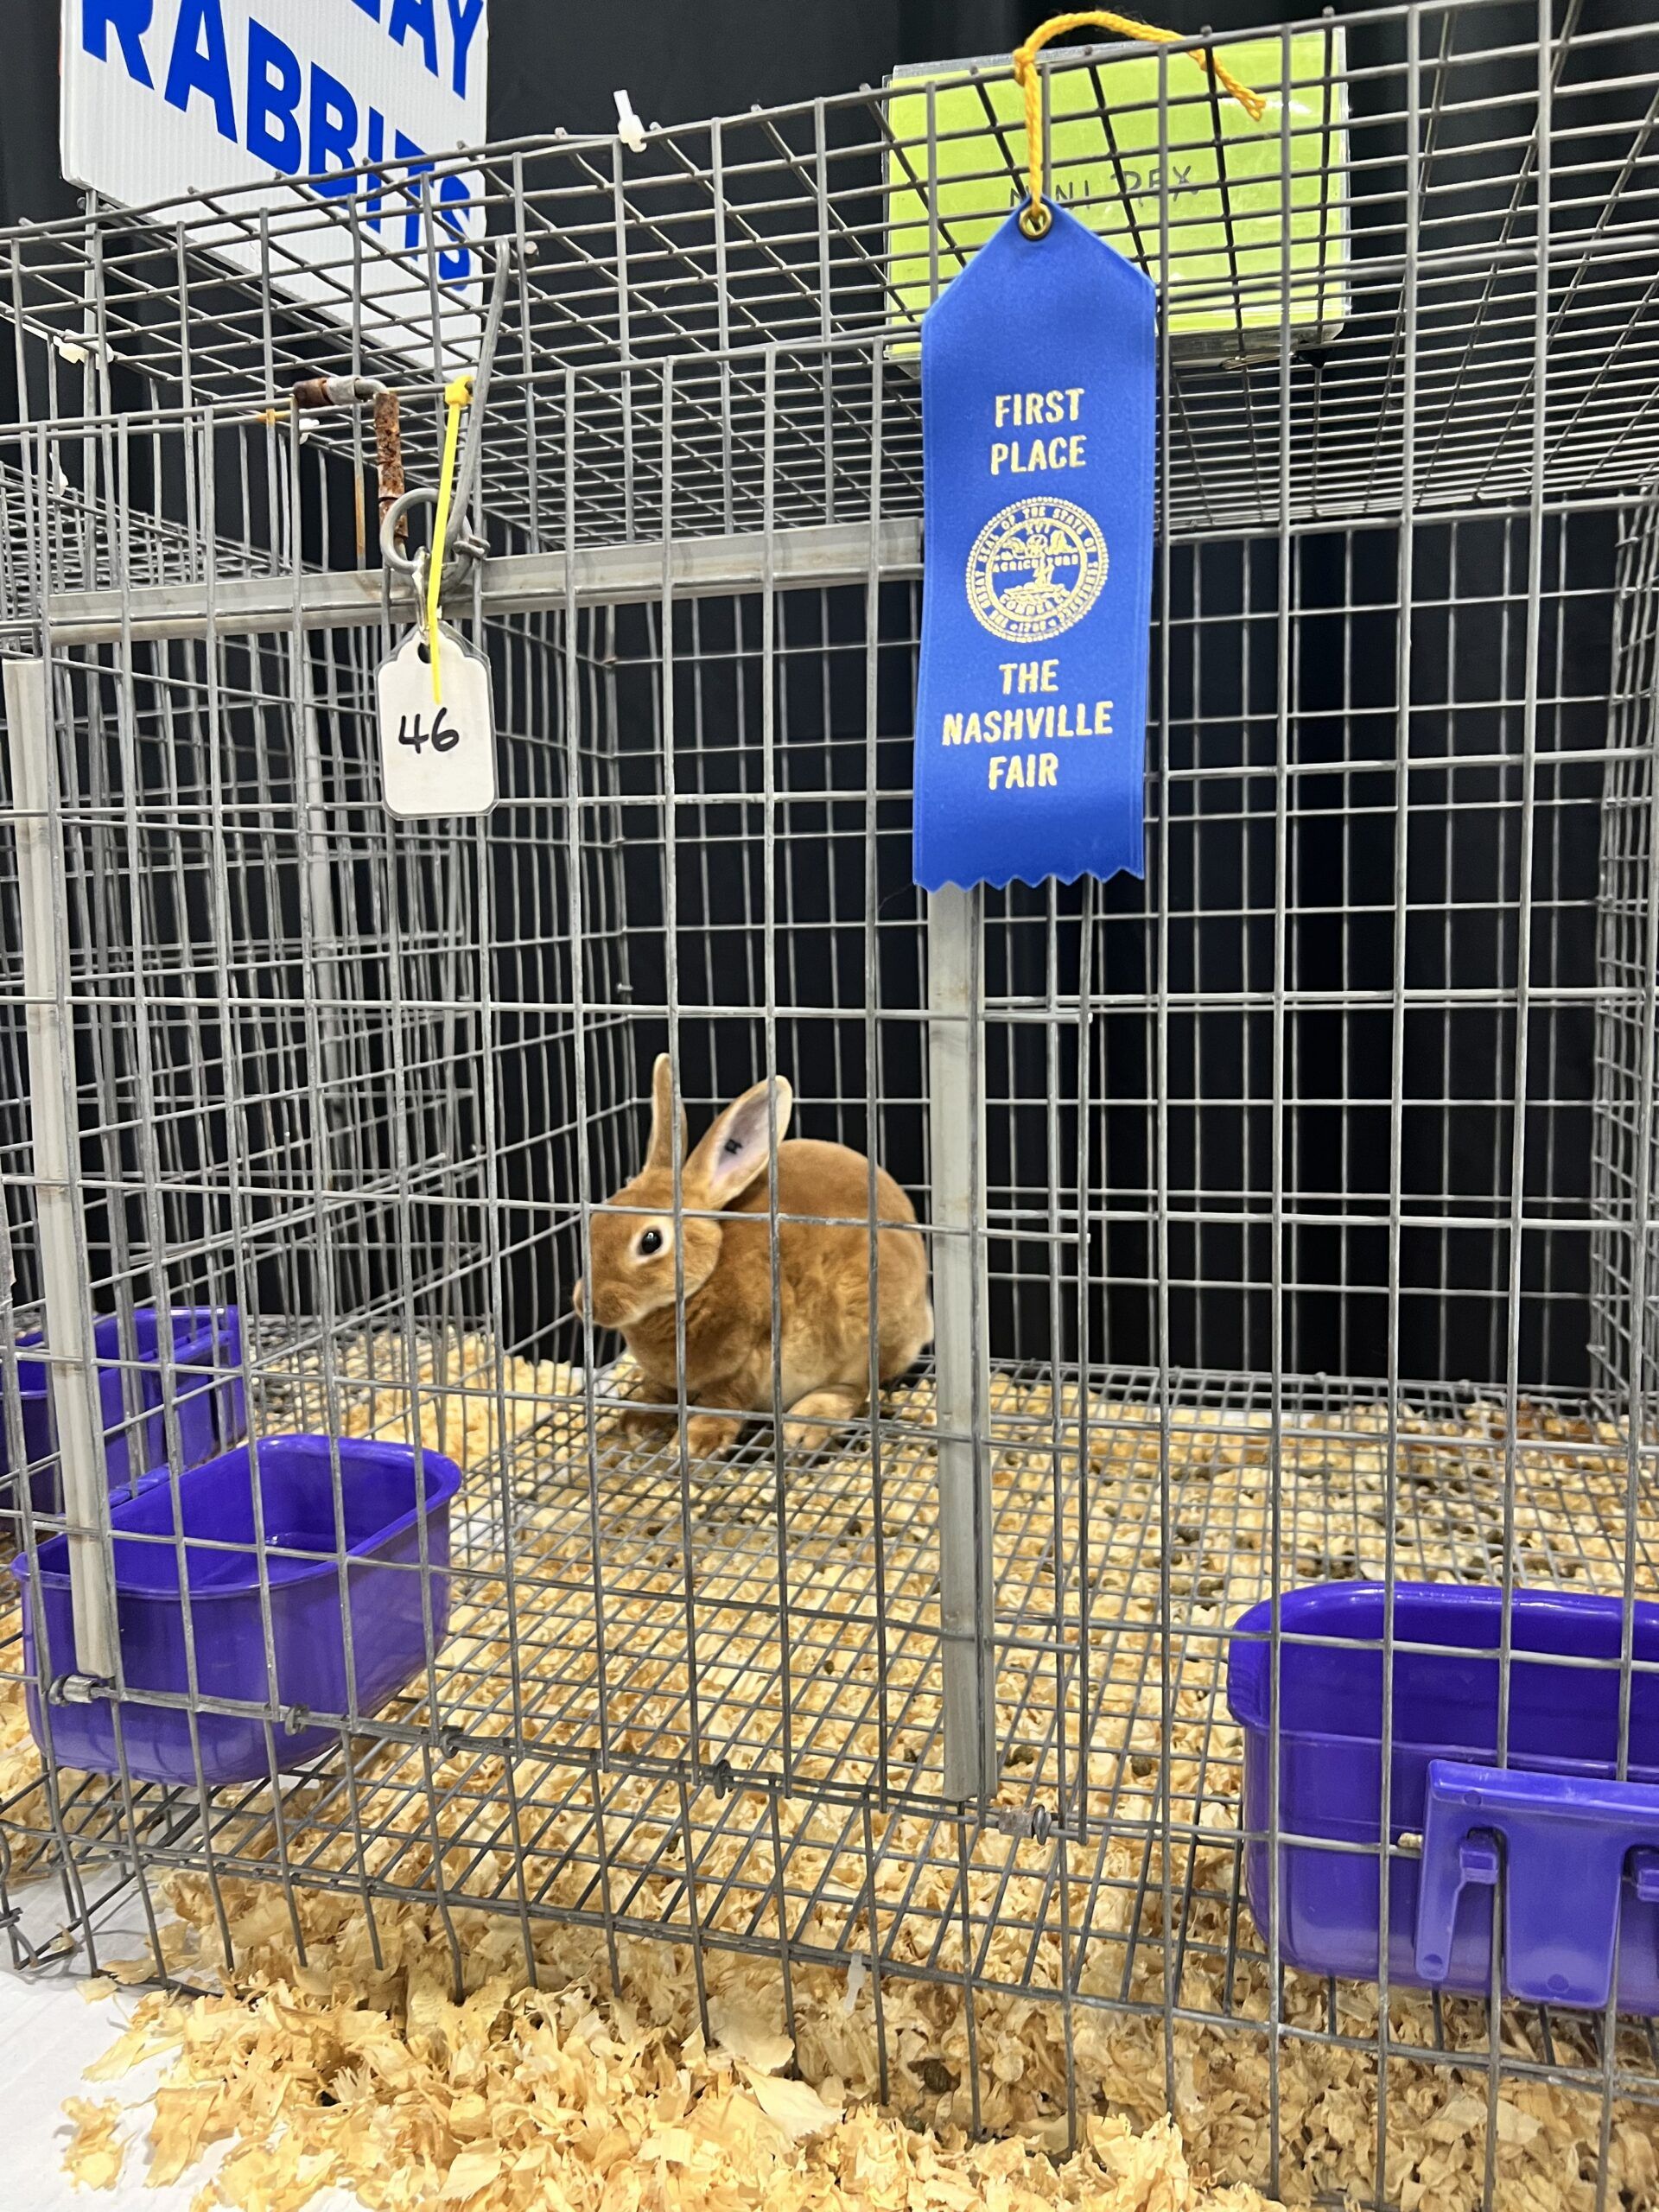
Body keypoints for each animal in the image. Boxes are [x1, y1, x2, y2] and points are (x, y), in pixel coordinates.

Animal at [570, 1061, 938, 1459]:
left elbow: (723, 1402)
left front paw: (695, 1441)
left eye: (650, 1241)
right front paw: (639, 1421)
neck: (703, 1281)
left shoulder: (752, 1358)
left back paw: (805, 1426)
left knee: (857, 1388)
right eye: (595, 1223)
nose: (586, 1305)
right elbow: (659, 1392)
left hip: (867, 1332)